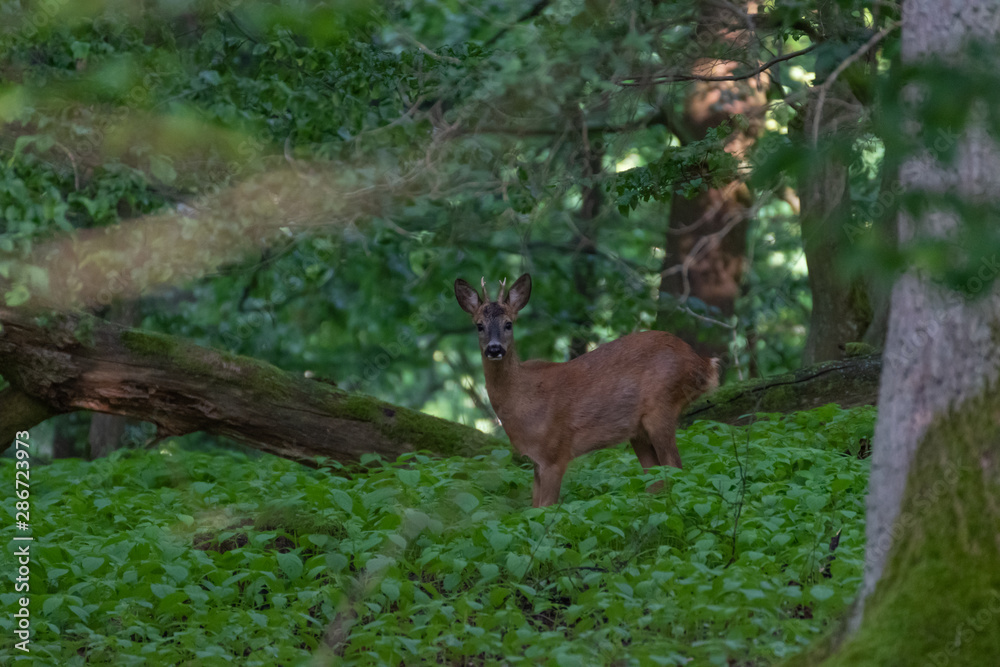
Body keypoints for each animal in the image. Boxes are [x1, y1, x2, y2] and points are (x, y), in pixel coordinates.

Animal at [454, 273, 720, 507]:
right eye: (479, 326)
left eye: (508, 324)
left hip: (662, 405)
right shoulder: (537, 462)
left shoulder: (555, 452)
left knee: (675, 467)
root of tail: (703, 363)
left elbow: (546, 507)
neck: (523, 400)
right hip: (638, 431)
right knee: (656, 477)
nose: (494, 349)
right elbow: (533, 508)